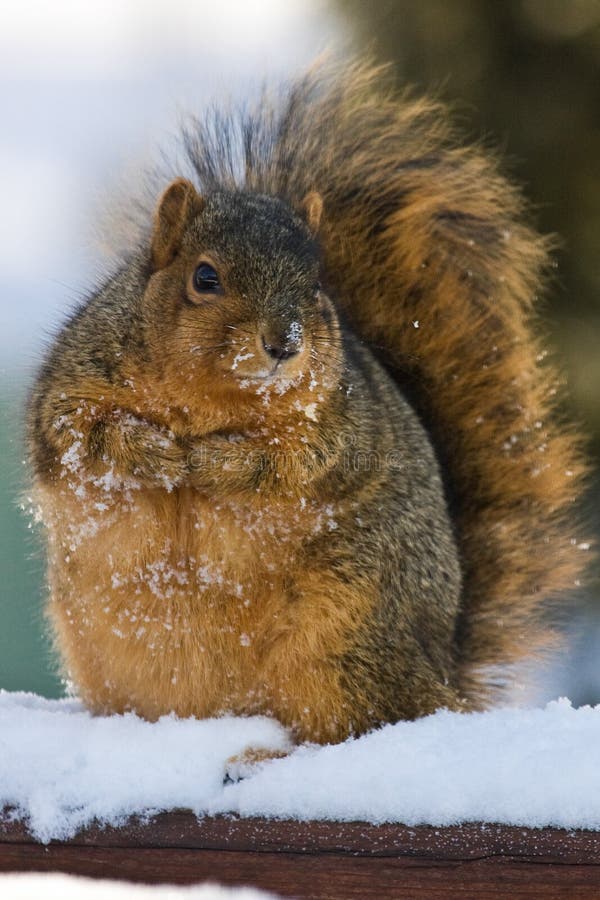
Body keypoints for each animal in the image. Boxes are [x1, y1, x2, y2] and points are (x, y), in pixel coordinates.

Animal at [27, 59, 584, 740]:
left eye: (318, 285)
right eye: (204, 277)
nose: (285, 343)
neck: (207, 402)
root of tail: (442, 671)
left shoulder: (344, 425)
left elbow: (298, 463)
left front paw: (215, 462)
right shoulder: (75, 381)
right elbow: (78, 435)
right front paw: (153, 451)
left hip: (346, 637)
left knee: (355, 721)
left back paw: (266, 750)